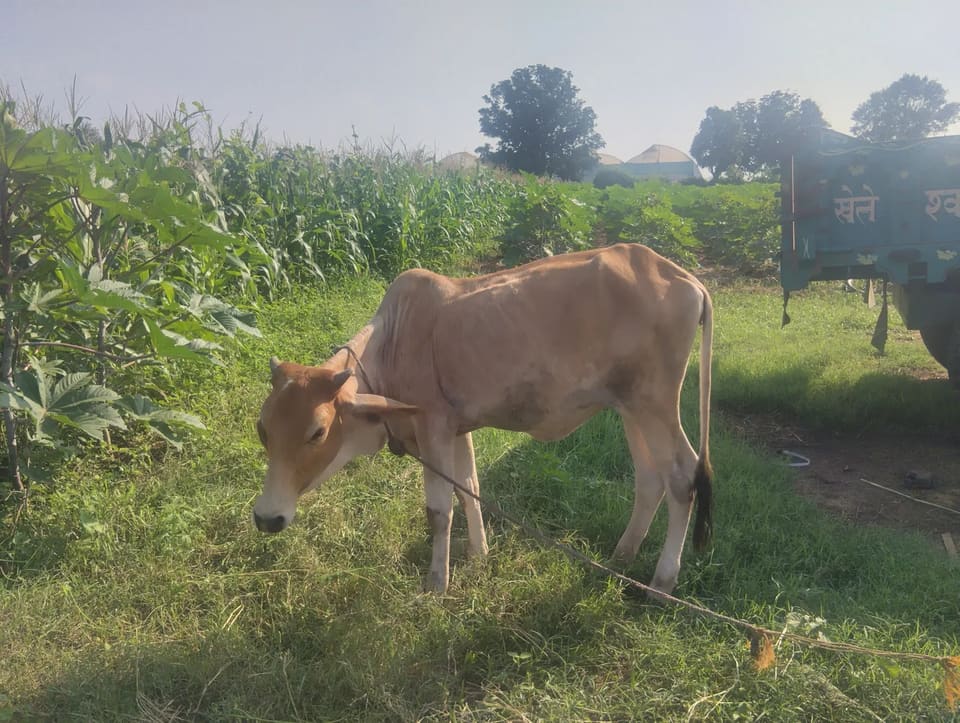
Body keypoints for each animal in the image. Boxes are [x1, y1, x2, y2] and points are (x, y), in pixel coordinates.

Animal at [253, 242, 713, 595]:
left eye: (317, 432)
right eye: (263, 430)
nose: (266, 518)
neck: (392, 343)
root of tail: (686, 279)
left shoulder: (434, 426)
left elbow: (439, 509)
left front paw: (437, 583)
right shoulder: (459, 429)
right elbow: (469, 489)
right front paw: (479, 555)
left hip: (655, 405)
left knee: (681, 478)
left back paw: (661, 583)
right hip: (630, 408)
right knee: (650, 479)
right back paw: (622, 556)